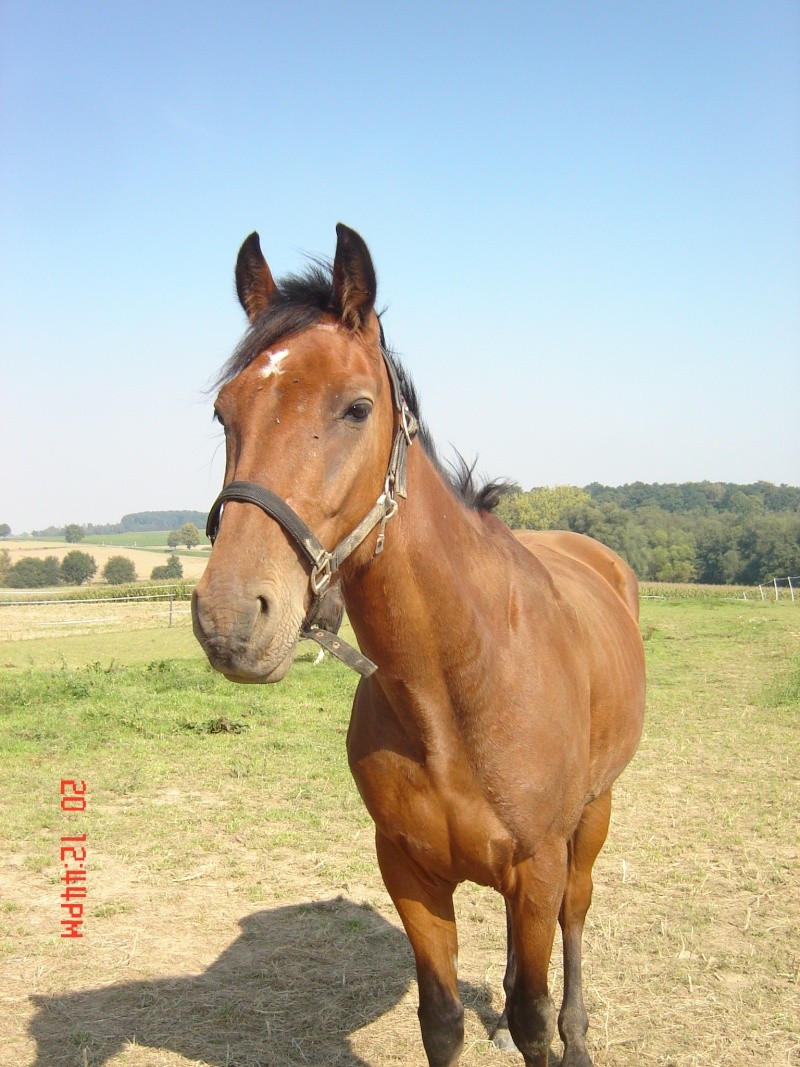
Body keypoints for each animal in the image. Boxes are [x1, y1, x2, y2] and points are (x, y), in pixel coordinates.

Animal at [193, 225, 644, 1067]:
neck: (462, 687)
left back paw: (580, 1032)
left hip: (592, 818)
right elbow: (442, 1017)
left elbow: (533, 1015)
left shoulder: (540, 863)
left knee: (574, 919)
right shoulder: (408, 870)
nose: (230, 617)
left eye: (356, 407)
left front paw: (553, 1032)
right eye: (223, 412)